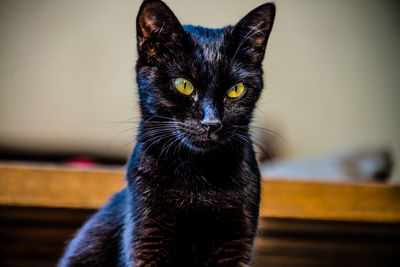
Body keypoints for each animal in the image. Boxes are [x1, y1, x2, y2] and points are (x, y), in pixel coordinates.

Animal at [58, 1, 276, 266]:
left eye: (236, 90)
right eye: (183, 84)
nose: (211, 122)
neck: (197, 174)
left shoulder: (236, 243)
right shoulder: (147, 238)